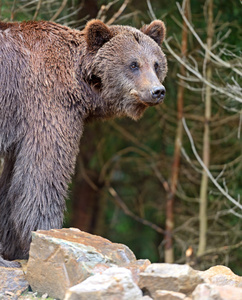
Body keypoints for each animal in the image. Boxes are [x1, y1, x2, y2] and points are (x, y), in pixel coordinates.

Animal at [0, 19, 166, 268]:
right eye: (133, 64)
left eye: (156, 64)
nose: (157, 91)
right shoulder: (46, 104)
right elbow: (44, 174)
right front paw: (42, 238)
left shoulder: (20, 128)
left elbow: (12, 183)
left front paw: (10, 248)